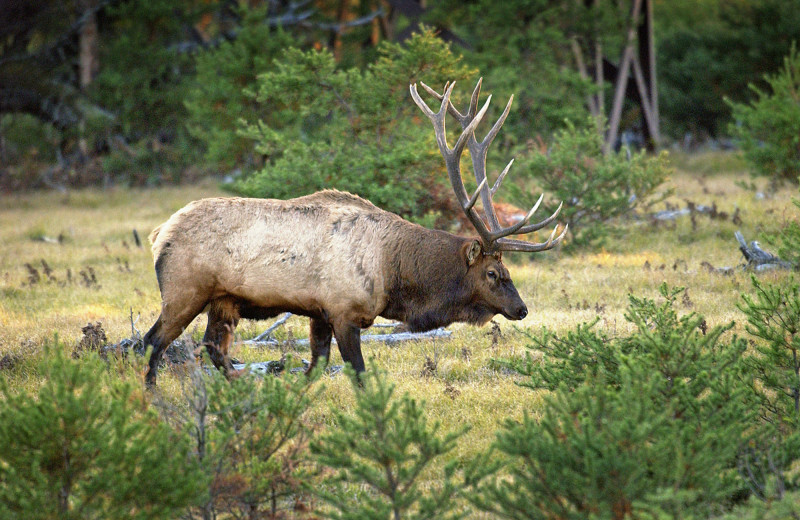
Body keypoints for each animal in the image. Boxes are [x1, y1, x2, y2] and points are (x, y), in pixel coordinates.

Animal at [144, 78, 568, 386]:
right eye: (493, 273)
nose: (521, 308)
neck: (395, 276)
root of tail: (159, 234)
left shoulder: (318, 311)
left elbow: (314, 367)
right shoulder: (344, 310)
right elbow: (359, 374)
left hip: (222, 301)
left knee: (212, 348)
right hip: (184, 291)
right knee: (154, 342)